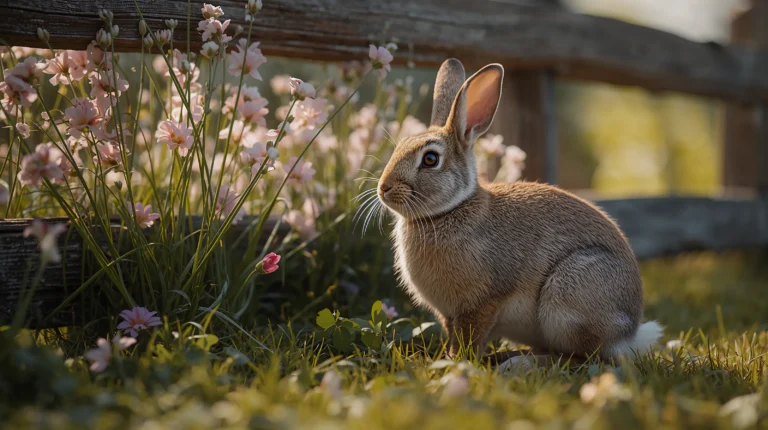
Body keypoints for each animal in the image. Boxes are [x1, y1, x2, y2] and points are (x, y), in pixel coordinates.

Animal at [376, 58, 662, 367]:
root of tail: (628, 334)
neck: (451, 209)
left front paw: (458, 363)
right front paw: (449, 359)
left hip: (568, 296)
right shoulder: (449, 315)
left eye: (430, 159)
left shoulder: (483, 303)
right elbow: (455, 336)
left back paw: (519, 363)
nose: (383, 188)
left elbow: (470, 339)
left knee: (582, 357)